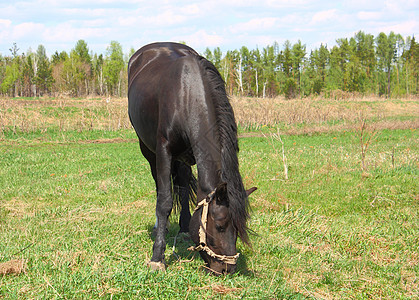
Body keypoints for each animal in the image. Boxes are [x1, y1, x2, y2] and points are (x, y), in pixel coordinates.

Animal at [128, 42, 256, 274]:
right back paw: (160, 226)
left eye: (239, 227)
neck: (186, 94)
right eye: (220, 225)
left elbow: (185, 189)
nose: (228, 269)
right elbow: (164, 201)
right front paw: (157, 257)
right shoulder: (164, 151)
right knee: (160, 185)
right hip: (148, 150)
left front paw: (186, 228)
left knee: (182, 183)